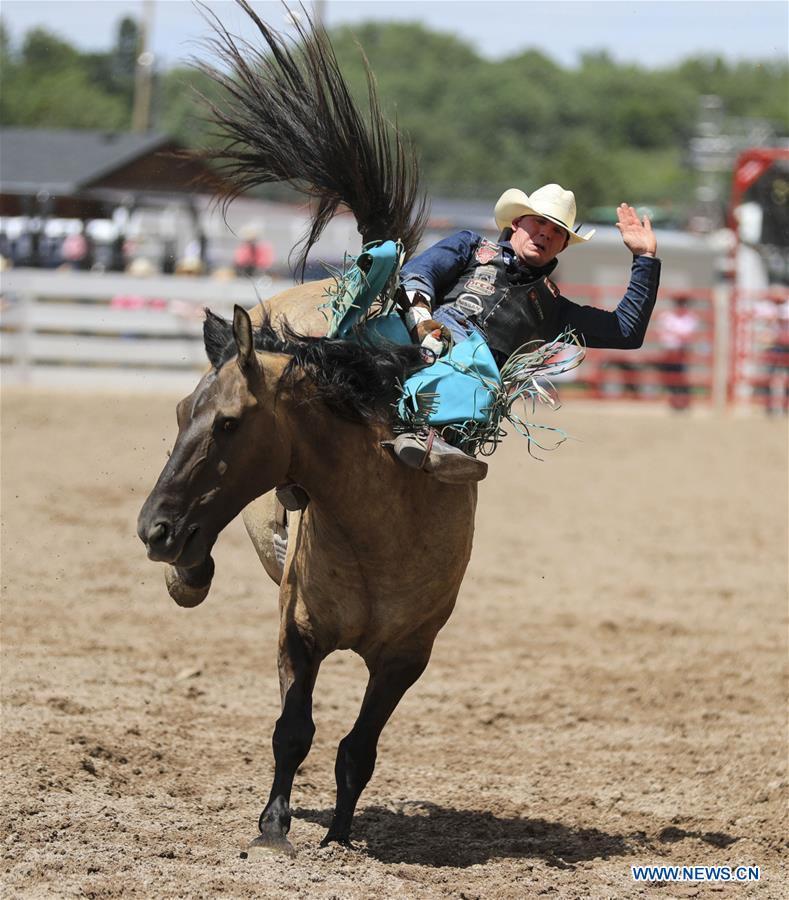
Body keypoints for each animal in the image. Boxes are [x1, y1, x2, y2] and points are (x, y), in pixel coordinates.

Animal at [137, 0, 474, 856]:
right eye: (178, 414)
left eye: (227, 423)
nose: (150, 528)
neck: (377, 532)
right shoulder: (297, 631)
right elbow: (293, 730)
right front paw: (272, 829)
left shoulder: (407, 659)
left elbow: (358, 748)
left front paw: (340, 836)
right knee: (205, 552)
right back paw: (186, 571)